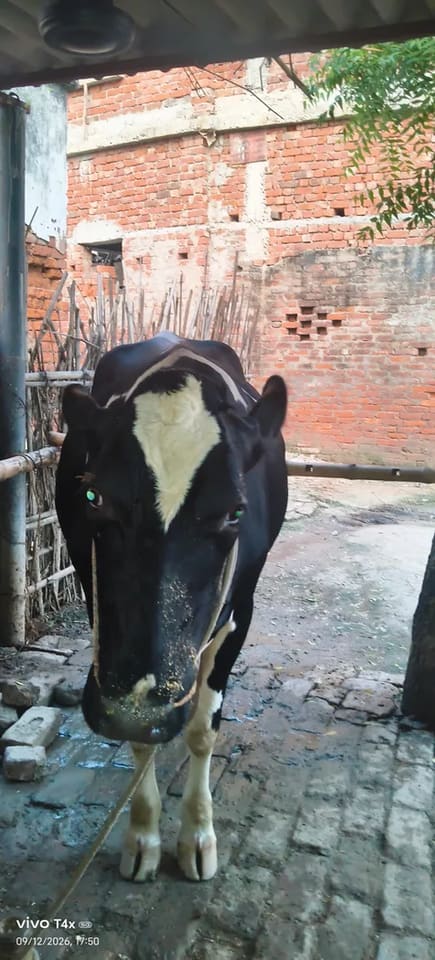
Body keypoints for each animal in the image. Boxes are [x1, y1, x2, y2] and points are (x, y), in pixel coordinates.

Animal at [55, 332, 288, 882]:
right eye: (93, 496)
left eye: (236, 512)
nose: (136, 709)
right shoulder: (97, 609)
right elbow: (143, 741)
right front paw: (143, 835)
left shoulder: (241, 611)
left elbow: (203, 729)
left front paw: (198, 836)